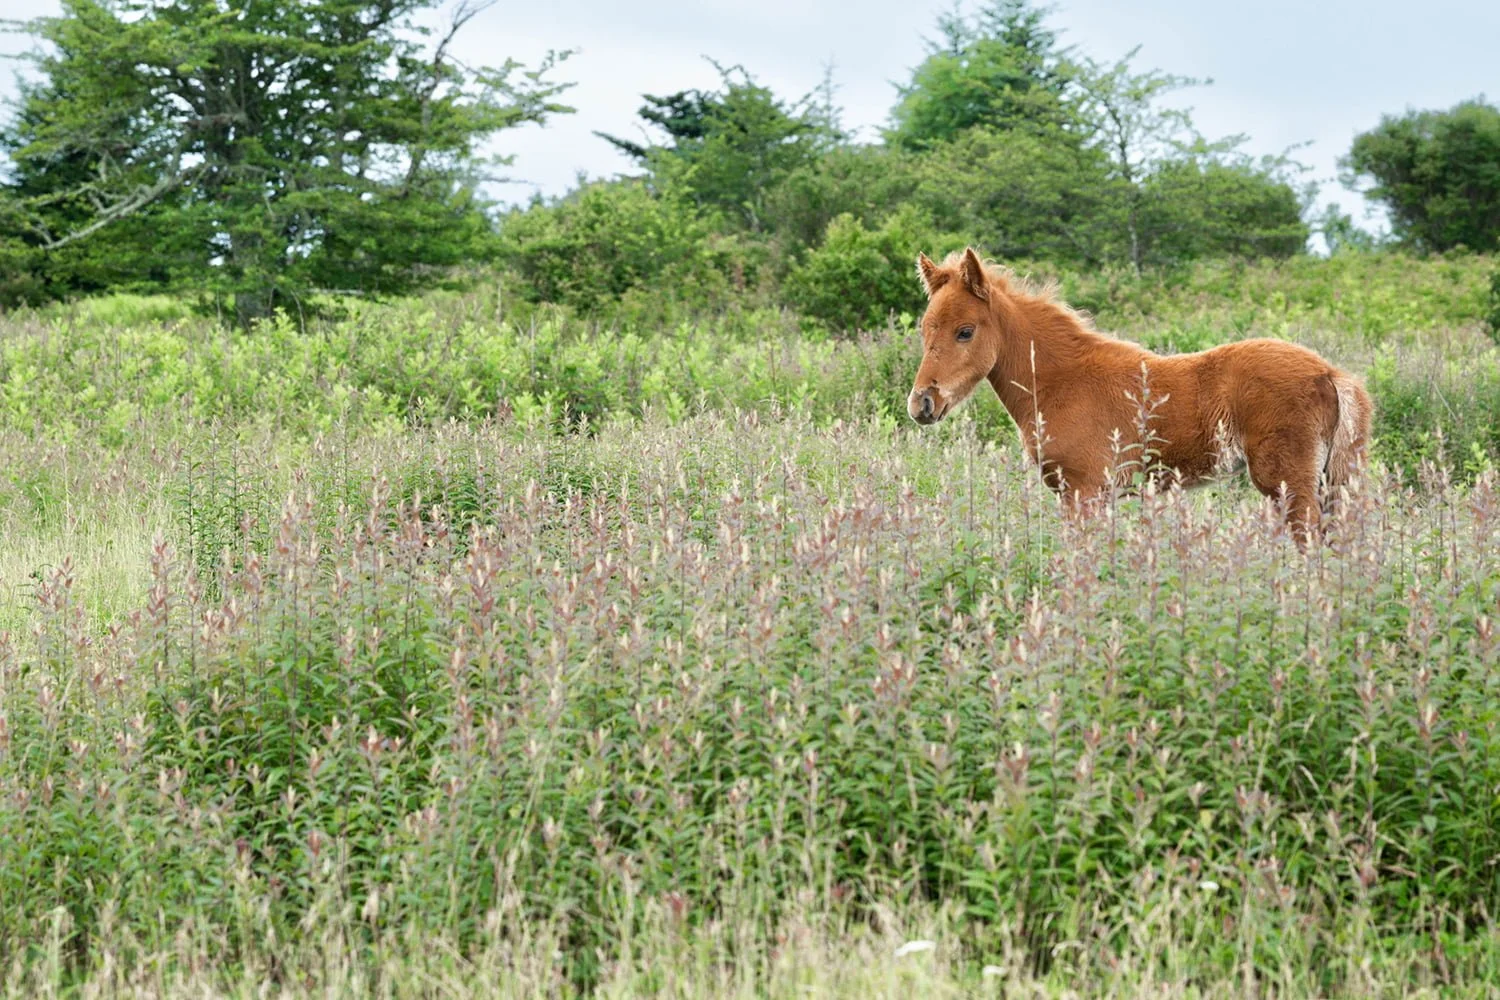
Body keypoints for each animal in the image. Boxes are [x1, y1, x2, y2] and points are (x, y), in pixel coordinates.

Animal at [906, 248, 1373, 542]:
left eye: (965, 331)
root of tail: (1330, 373)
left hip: (1288, 482)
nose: (921, 404)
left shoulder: (1085, 491)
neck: (1061, 382)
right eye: (924, 329)